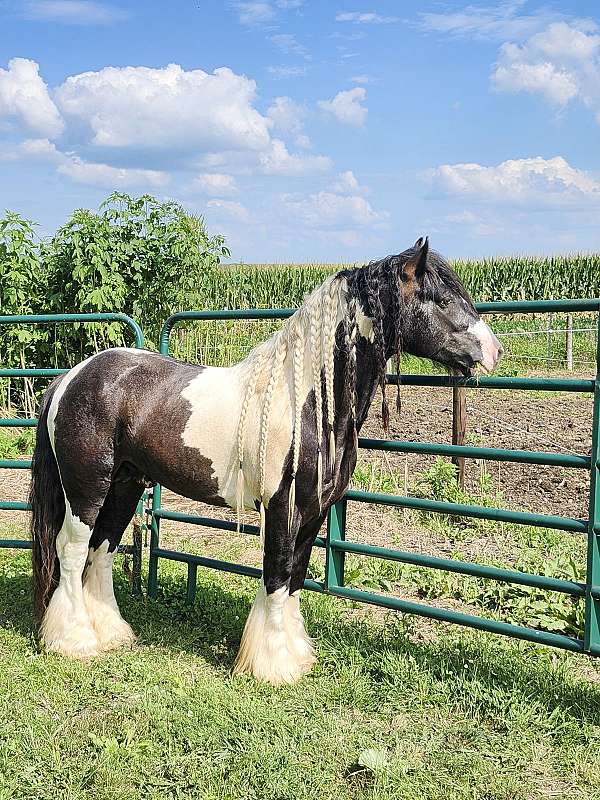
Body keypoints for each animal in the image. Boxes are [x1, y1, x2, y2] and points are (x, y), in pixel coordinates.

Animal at [30, 237, 502, 684]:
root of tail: (71, 378)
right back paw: (73, 641)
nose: (493, 351)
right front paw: (272, 666)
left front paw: (295, 656)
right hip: (87, 490)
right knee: (72, 549)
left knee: (102, 547)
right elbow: (276, 575)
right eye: (441, 298)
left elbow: (295, 577)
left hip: (125, 485)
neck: (305, 402)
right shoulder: (282, 508)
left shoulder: (314, 512)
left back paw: (111, 633)